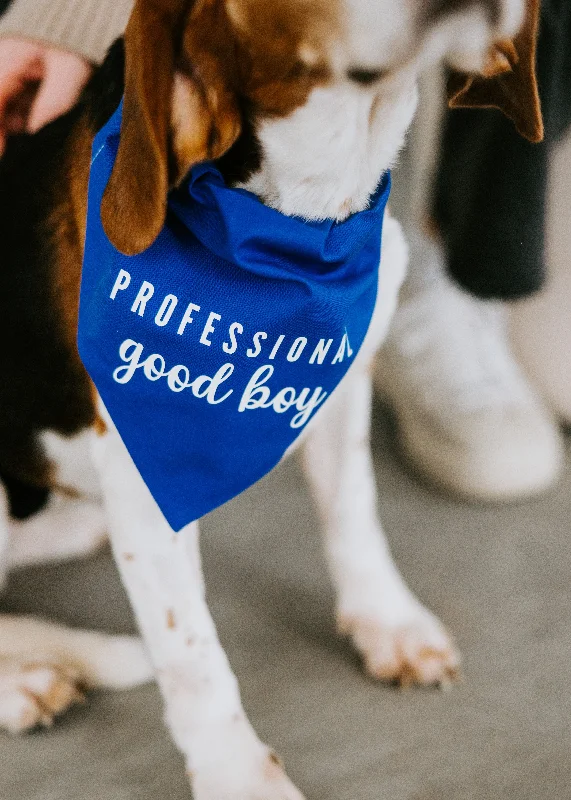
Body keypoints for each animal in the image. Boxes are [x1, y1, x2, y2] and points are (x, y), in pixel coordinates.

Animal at [0, 1, 540, 800]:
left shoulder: (342, 387)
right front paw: (238, 774)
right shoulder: (144, 477)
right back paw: (24, 682)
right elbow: (191, 652)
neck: (312, 211)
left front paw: (387, 620)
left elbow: (354, 514)